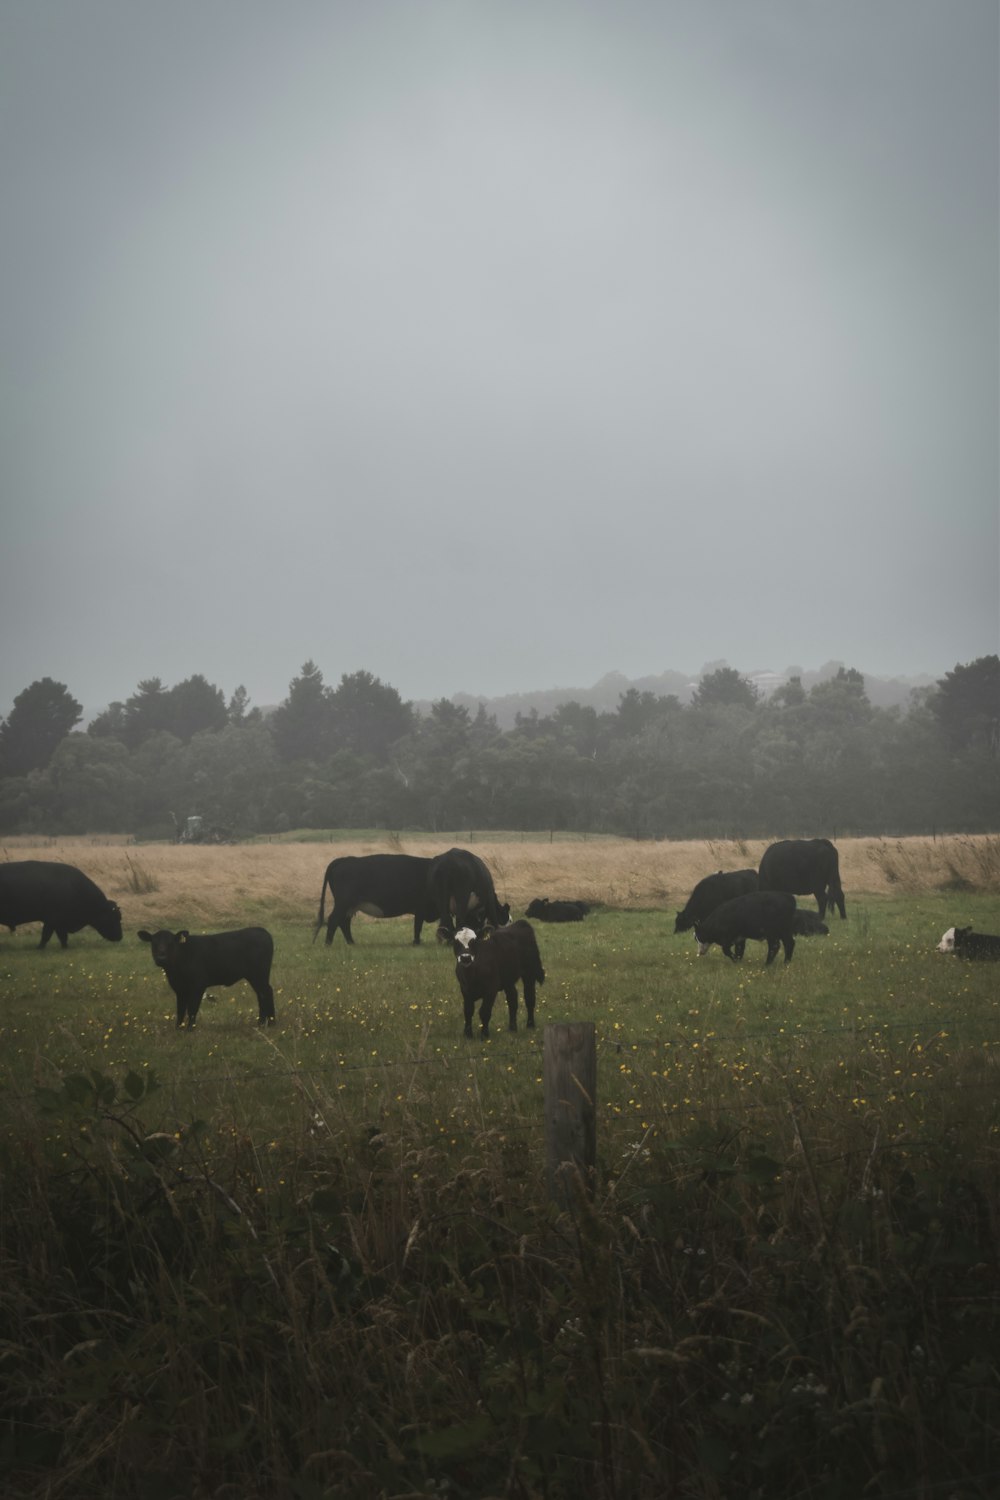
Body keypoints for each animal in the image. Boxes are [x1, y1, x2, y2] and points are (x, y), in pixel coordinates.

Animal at [137, 924, 277, 1032]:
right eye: (153, 943)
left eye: (171, 943)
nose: (161, 958)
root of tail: (261, 930)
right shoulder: (179, 988)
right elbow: (180, 1009)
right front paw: (178, 1029)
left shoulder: (198, 985)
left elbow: (192, 1009)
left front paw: (190, 1029)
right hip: (255, 976)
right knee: (262, 994)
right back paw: (265, 1023)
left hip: (259, 974)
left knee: (265, 993)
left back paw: (268, 1023)